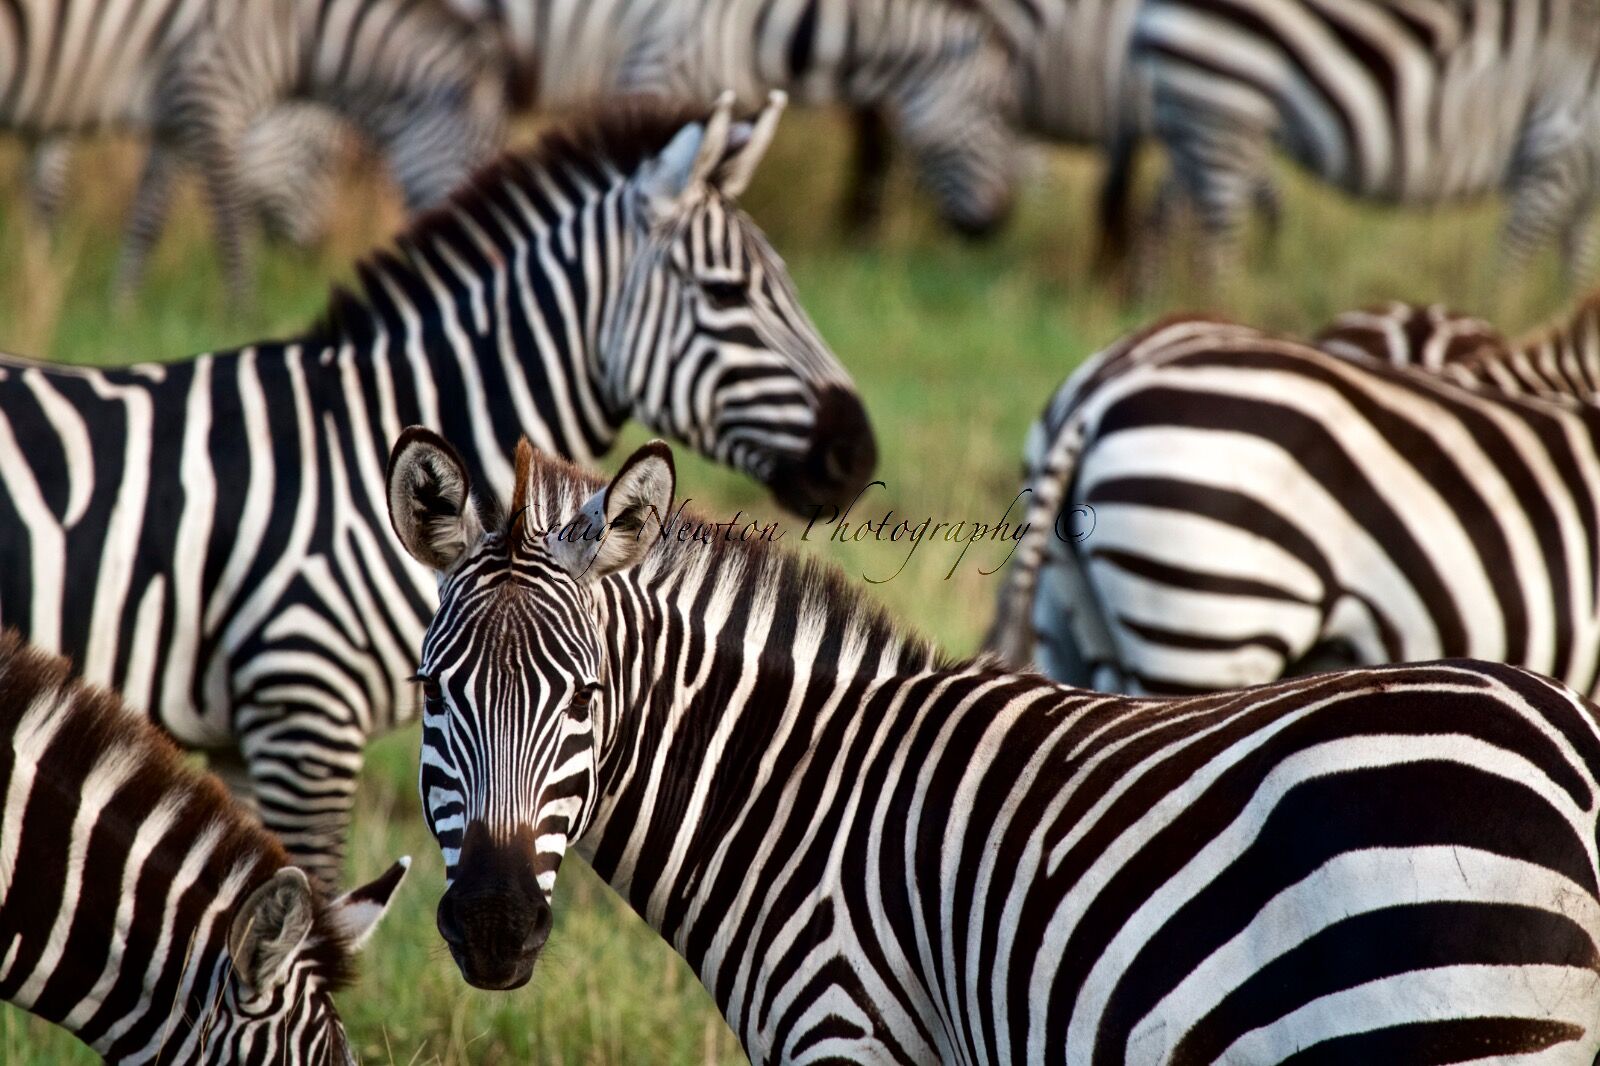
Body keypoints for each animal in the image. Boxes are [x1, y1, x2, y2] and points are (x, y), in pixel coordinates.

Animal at [0, 0, 507, 302]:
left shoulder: (173, 120)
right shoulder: (213, 95)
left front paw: (121, 313)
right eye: (325, 161)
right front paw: (239, 320)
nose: (317, 253)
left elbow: (147, 220)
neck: (297, 31)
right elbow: (232, 230)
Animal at [1124, 0, 1600, 279]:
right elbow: (1511, 269)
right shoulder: (1558, 147)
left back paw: (1154, 305)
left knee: (1160, 216)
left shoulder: (1580, 182)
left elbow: (1576, 274)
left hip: (1195, 120)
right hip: (1224, 108)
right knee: (1213, 250)